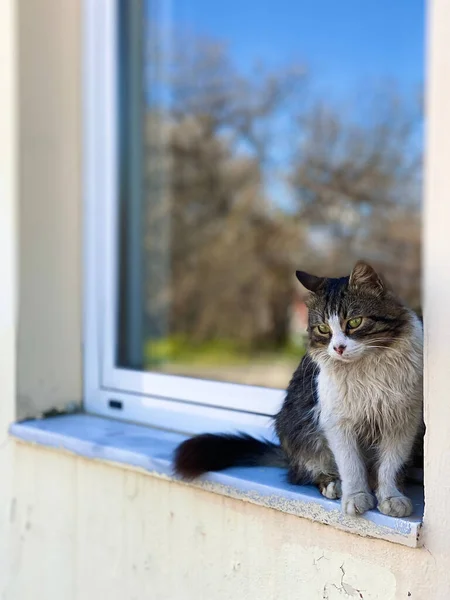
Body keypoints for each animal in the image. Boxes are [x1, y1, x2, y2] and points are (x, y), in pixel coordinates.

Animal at [174, 262, 424, 520]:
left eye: (354, 322)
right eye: (323, 328)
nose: (338, 348)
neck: (368, 370)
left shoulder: (403, 422)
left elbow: (390, 467)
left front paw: (391, 497)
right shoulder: (337, 422)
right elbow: (351, 466)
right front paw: (355, 497)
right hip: (302, 432)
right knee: (307, 472)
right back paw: (333, 485)